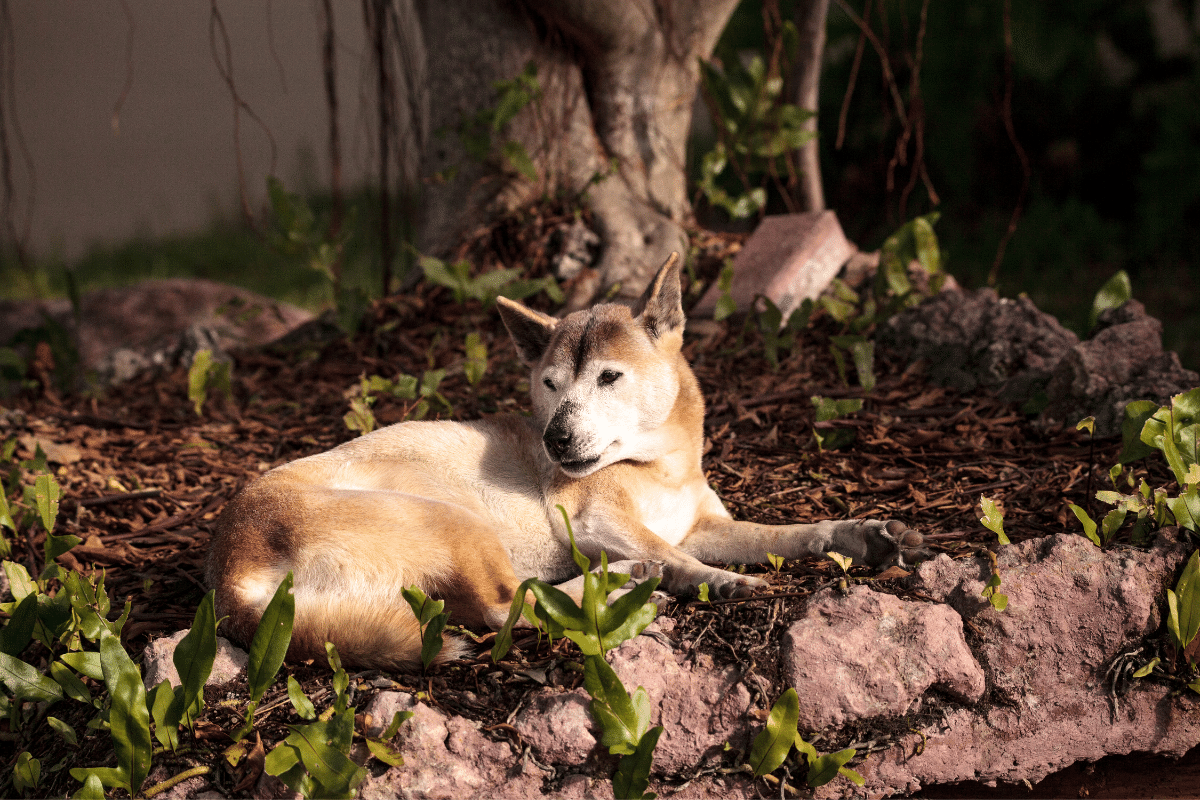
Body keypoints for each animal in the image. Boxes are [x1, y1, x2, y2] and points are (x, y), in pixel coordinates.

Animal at [206, 256, 921, 671]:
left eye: (608, 377)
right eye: (550, 385)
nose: (556, 438)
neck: (658, 466)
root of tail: (231, 576)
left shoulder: (705, 526)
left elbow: (787, 535)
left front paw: (859, 535)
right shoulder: (595, 521)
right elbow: (676, 555)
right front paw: (717, 582)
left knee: (511, 599)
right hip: (456, 523)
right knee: (505, 605)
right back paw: (627, 580)